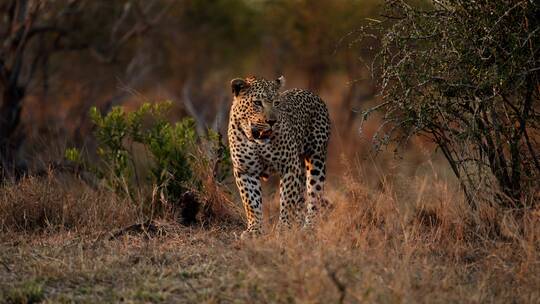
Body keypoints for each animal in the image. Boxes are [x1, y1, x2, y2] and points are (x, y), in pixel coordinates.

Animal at [227, 75, 330, 238]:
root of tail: (311, 93)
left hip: (316, 159)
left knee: (315, 196)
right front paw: (254, 230)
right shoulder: (245, 171)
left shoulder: (290, 167)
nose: (272, 122)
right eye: (257, 103)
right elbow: (251, 202)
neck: (256, 141)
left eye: (276, 103)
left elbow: (287, 200)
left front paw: (284, 229)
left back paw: (309, 228)